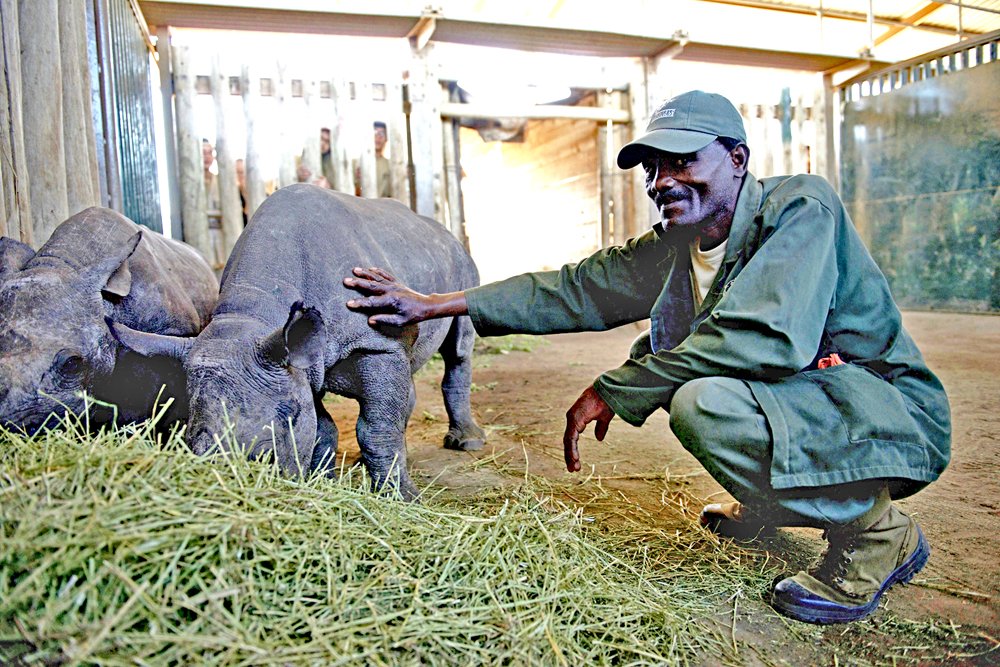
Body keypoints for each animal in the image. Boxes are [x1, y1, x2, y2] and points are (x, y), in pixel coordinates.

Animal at [111, 184, 485, 500]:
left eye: (287, 417)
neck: (254, 316)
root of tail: (442, 229)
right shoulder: (297, 358)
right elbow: (322, 427)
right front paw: (322, 481)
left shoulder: (374, 343)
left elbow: (376, 429)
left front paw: (402, 499)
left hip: (461, 262)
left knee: (458, 349)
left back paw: (467, 442)